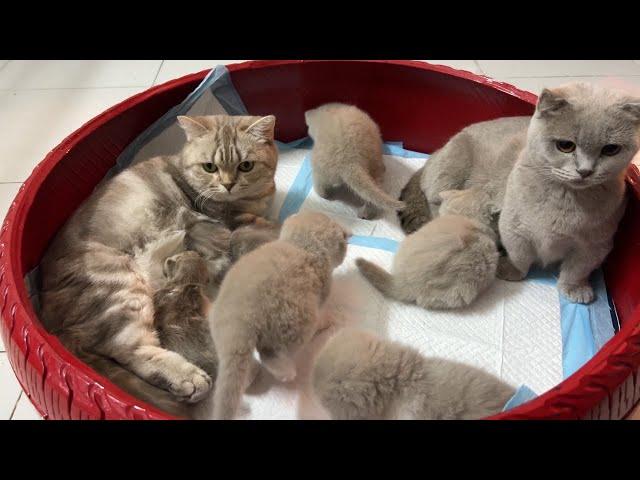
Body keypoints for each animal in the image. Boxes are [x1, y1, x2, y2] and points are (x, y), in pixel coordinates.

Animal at [39, 113, 278, 408]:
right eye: (210, 167)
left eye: (246, 165)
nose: (228, 184)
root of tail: (49, 320)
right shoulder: (226, 221)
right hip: (121, 290)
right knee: (132, 350)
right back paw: (187, 377)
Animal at [211, 212, 350, 418]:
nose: (345, 251)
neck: (301, 246)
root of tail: (238, 322)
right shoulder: (322, 291)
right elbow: (322, 313)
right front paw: (329, 319)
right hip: (293, 326)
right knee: (270, 354)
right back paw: (286, 372)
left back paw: (248, 378)